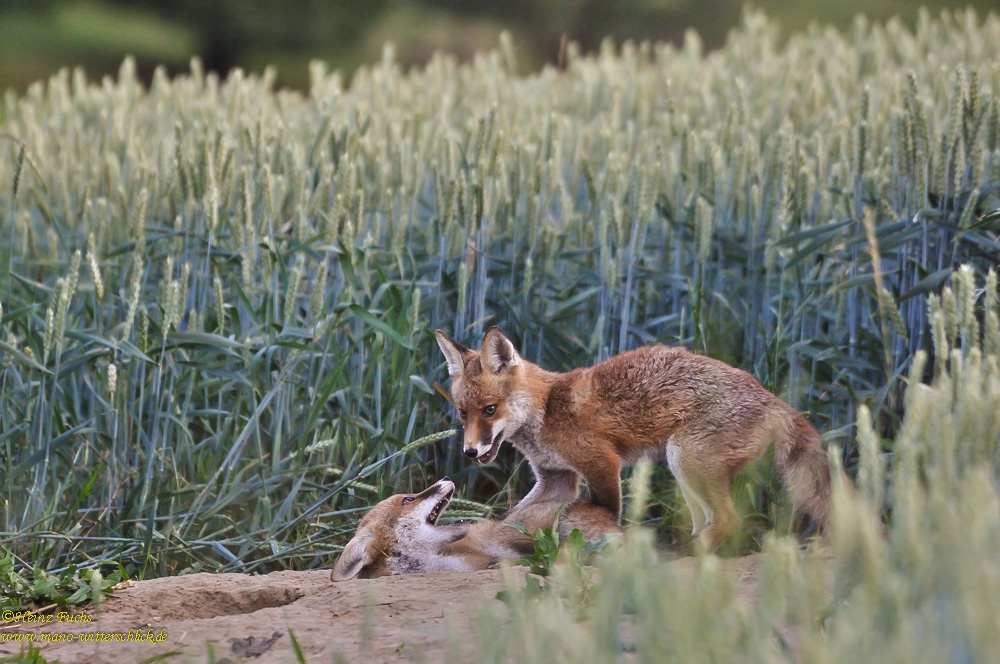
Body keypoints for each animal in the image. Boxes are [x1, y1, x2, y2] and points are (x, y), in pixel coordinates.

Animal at [434, 326, 832, 548]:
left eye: (490, 410)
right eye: (463, 413)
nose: (470, 452)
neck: (546, 410)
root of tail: (770, 397)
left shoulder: (601, 463)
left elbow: (605, 512)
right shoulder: (556, 479)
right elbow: (509, 515)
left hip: (686, 460)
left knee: (730, 521)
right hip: (685, 473)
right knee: (711, 522)